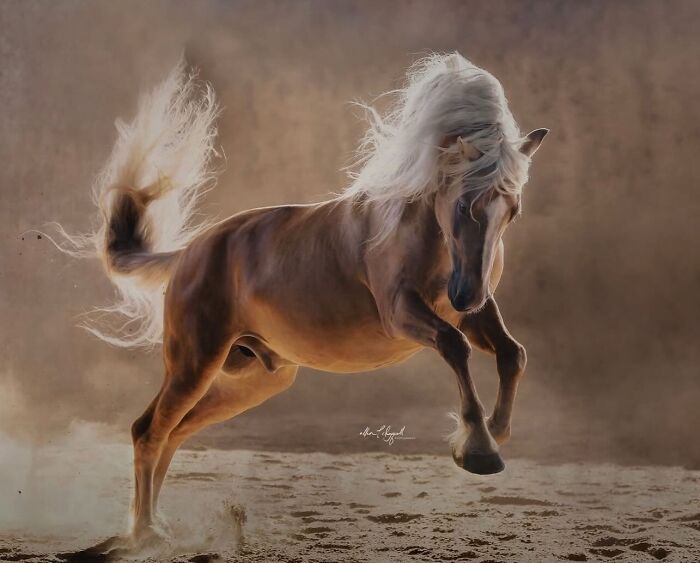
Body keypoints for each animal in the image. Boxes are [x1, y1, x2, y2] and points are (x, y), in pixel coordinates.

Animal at [62, 52, 547, 545]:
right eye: (466, 203)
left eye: (512, 210)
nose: (467, 294)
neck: (420, 230)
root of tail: (186, 254)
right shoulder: (402, 313)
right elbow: (456, 346)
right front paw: (478, 450)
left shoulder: (473, 314)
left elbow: (513, 353)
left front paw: (494, 433)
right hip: (193, 363)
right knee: (148, 431)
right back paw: (145, 534)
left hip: (253, 380)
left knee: (173, 433)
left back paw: (156, 525)